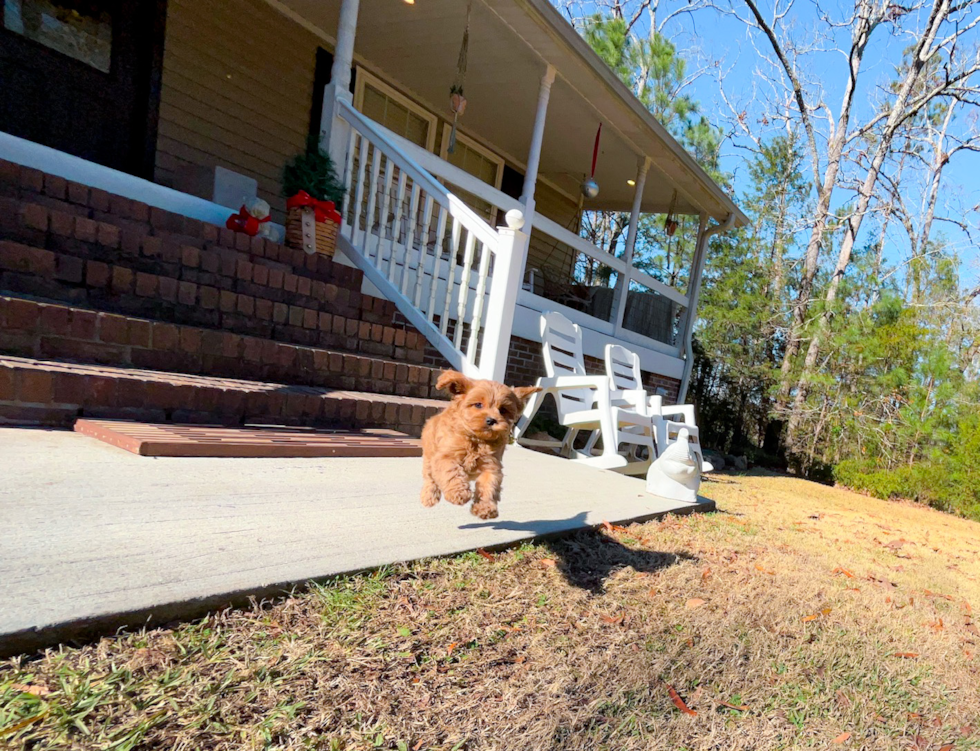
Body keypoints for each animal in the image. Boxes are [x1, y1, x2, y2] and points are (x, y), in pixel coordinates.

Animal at [420, 372, 540, 524]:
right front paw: (459, 493)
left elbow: (489, 485)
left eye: (503, 410)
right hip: (429, 457)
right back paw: (428, 497)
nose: (491, 420)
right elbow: (451, 471)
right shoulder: (445, 456)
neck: (477, 440)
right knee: (430, 478)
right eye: (478, 404)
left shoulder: (491, 465)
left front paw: (485, 508)